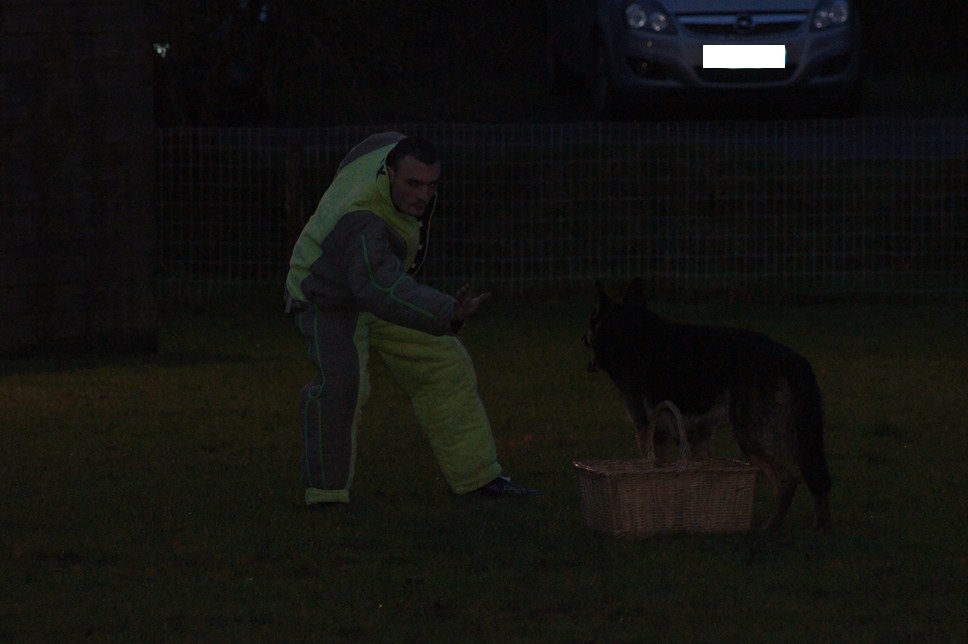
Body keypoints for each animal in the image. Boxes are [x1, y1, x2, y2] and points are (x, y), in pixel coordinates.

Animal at [584, 280, 832, 532]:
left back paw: (769, 528)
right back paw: (820, 530)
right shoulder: (696, 434)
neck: (632, 333)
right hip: (800, 439)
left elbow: (652, 466)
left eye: (591, 321)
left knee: (787, 482)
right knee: (818, 483)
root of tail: (794, 361)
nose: (584, 340)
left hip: (750, 439)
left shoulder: (648, 430)